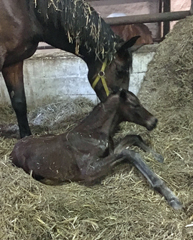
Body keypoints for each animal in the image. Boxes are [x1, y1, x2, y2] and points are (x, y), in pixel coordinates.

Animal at [10, 89, 182, 209]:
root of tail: (13, 149)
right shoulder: (89, 171)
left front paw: (158, 157)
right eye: (135, 104)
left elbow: (132, 138)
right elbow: (130, 153)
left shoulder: (110, 152)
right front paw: (171, 197)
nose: (154, 121)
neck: (90, 134)